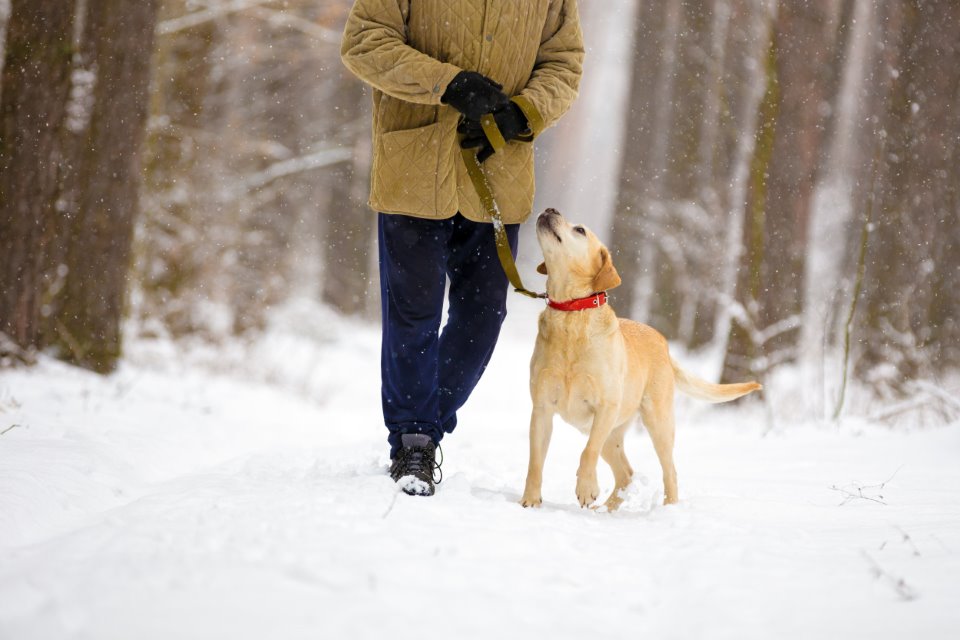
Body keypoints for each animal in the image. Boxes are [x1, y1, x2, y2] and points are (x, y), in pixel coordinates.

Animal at [520, 209, 760, 510]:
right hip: (612, 434)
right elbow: (534, 461)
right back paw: (606, 510)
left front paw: (586, 488)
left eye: (580, 230)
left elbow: (587, 452)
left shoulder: (605, 407)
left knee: (668, 471)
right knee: (626, 474)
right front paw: (530, 501)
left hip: (657, 423)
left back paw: (667, 507)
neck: (571, 314)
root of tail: (664, 344)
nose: (550, 210)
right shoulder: (541, 409)